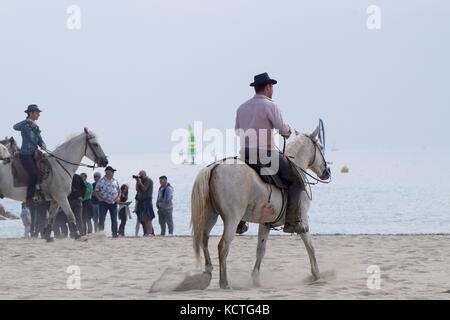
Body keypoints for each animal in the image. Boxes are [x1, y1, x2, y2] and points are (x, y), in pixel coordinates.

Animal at [191, 128, 330, 290]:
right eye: (321, 146)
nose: (327, 171)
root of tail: (214, 167)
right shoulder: (302, 221)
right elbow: (310, 247)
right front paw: (316, 275)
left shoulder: (265, 224)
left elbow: (260, 251)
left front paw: (256, 280)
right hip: (232, 218)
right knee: (223, 246)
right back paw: (224, 282)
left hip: (210, 215)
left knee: (204, 239)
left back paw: (207, 272)